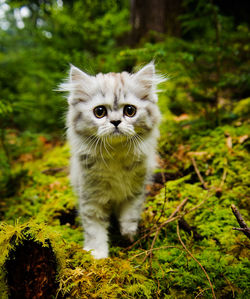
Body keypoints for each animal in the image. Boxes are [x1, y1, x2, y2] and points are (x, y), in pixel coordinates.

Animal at [59, 63, 165, 260]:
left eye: (130, 111)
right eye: (99, 112)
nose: (116, 122)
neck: (116, 155)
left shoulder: (135, 191)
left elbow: (130, 215)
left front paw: (128, 234)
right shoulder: (91, 197)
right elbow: (95, 230)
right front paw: (97, 254)